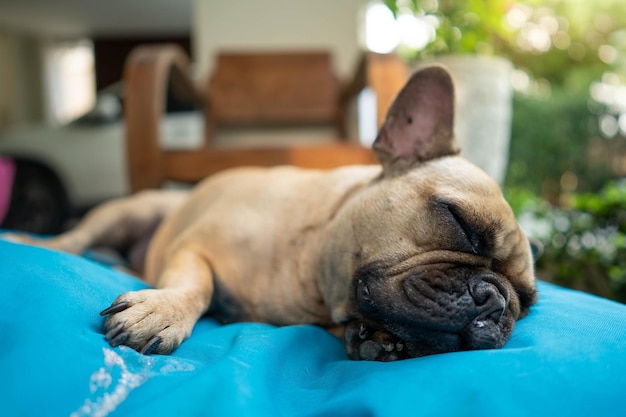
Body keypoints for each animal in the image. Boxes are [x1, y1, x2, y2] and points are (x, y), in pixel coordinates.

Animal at [4, 66, 532, 360]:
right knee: (73, 240)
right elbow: (197, 285)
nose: (496, 300)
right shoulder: (193, 249)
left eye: (527, 302)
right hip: (129, 211)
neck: (310, 278)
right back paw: (30, 240)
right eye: (461, 223)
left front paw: (376, 338)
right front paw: (163, 310)